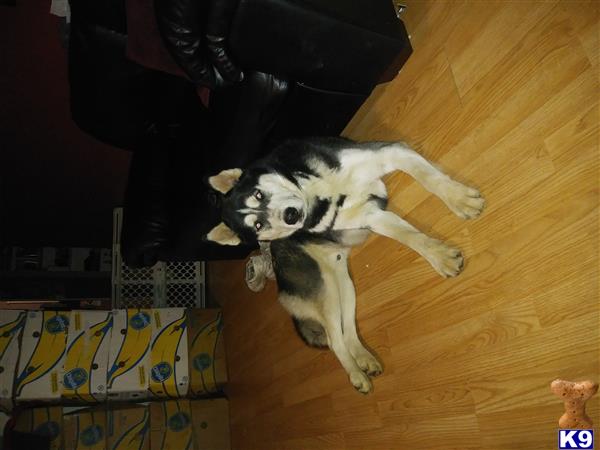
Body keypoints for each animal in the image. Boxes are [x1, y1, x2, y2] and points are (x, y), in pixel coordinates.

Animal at [205, 138, 482, 394]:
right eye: (258, 226)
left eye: (258, 194)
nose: (291, 215)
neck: (317, 197)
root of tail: (278, 279)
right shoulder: (372, 207)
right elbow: (409, 230)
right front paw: (443, 247)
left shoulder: (387, 160)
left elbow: (424, 191)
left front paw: (455, 203)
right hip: (325, 292)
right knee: (333, 340)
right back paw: (356, 375)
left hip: (345, 288)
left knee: (347, 331)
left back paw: (364, 358)